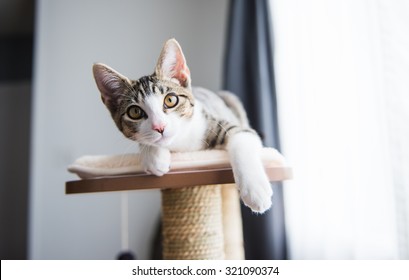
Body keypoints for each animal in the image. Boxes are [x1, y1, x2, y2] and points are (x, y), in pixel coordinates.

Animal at [92, 37, 270, 212]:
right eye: (135, 112)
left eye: (170, 100)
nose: (159, 127)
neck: (180, 143)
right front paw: (154, 156)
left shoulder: (221, 124)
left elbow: (242, 140)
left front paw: (255, 190)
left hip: (231, 99)